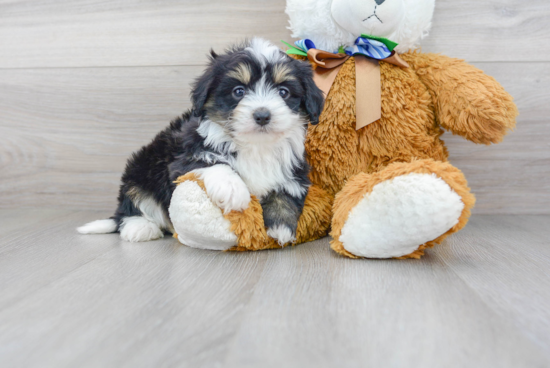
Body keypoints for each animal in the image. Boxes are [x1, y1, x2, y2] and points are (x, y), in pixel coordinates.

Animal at [78, 38, 328, 244]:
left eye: (284, 92)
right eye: (238, 91)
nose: (262, 115)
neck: (255, 146)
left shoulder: (295, 169)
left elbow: (287, 190)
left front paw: (281, 225)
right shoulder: (182, 159)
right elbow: (211, 161)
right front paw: (232, 188)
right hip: (142, 168)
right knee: (132, 204)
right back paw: (139, 227)